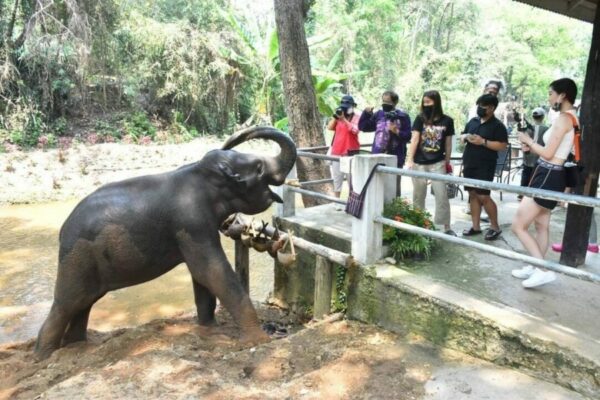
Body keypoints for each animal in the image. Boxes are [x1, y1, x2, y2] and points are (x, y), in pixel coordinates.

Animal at [34, 125, 296, 360]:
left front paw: (209, 328)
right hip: (76, 259)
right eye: (259, 168)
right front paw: (259, 341)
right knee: (66, 304)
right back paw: (44, 357)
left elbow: (201, 276)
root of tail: (62, 230)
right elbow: (211, 271)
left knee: (84, 303)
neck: (199, 171)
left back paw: (77, 347)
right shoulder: (191, 221)